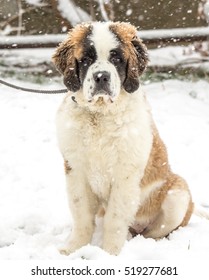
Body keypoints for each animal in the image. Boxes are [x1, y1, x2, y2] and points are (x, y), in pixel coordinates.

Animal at [51, 20, 193, 255]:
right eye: (87, 59)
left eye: (116, 59)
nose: (101, 77)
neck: (99, 116)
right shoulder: (75, 170)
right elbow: (81, 214)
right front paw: (74, 248)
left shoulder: (125, 174)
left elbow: (115, 218)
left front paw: (110, 253)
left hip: (177, 196)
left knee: (153, 231)